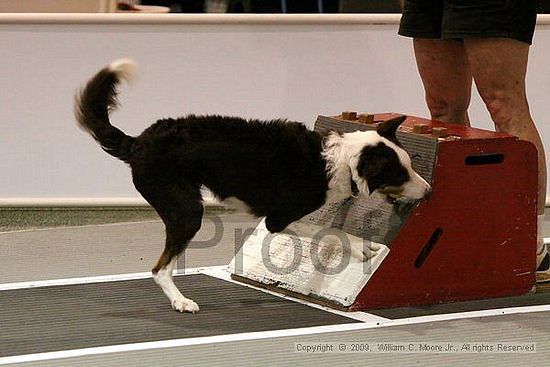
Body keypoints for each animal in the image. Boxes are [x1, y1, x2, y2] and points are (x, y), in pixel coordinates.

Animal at [76, 60, 432, 314]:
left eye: (412, 164)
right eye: (399, 174)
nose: (429, 191)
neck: (341, 160)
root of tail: (138, 142)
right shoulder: (278, 217)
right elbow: (326, 231)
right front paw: (360, 246)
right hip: (187, 210)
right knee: (159, 268)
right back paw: (181, 301)